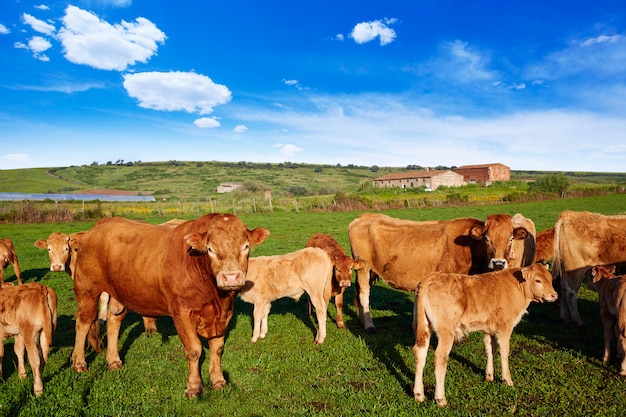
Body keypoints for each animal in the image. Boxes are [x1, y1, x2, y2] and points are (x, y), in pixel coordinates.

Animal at [71, 214, 270, 396]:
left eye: (245, 246)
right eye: (210, 249)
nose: (230, 277)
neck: (216, 297)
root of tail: (100, 225)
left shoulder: (224, 315)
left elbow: (218, 348)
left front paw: (219, 380)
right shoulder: (181, 312)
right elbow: (194, 350)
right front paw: (194, 387)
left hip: (120, 290)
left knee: (114, 320)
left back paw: (113, 361)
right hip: (87, 289)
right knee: (83, 322)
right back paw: (79, 362)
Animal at [346, 213, 532, 334]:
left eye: (510, 239)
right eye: (487, 238)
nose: (498, 263)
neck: (470, 246)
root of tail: (364, 217)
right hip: (364, 267)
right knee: (364, 294)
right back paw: (369, 325)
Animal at [410, 264, 556, 406]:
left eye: (550, 278)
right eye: (538, 280)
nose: (554, 295)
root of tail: (433, 277)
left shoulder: (488, 329)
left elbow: (490, 349)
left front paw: (489, 375)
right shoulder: (505, 326)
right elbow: (504, 351)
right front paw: (507, 380)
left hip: (424, 328)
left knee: (420, 353)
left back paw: (419, 394)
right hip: (446, 332)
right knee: (440, 357)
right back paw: (440, 399)